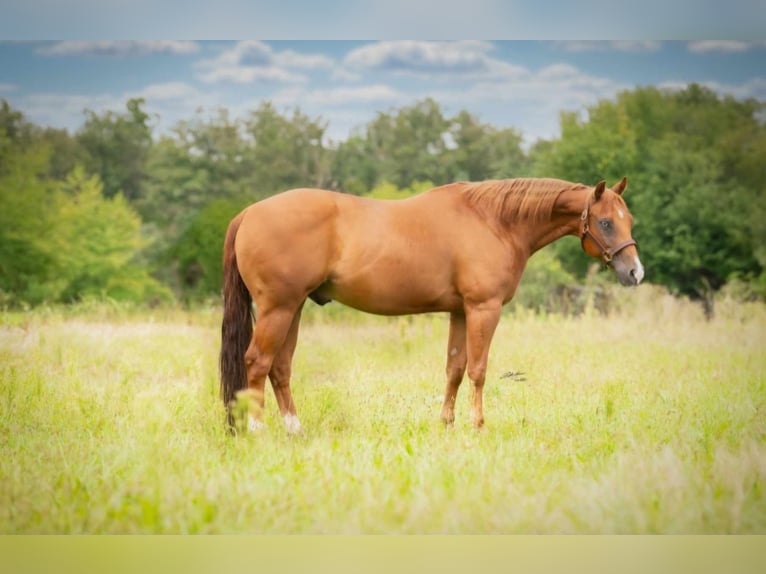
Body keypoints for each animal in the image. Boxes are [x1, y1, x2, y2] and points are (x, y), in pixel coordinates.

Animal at [219, 178, 644, 434]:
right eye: (606, 222)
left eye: (629, 219)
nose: (635, 272)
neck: (494, 221)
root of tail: (249, 212)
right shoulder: (483, 309)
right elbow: (477, 370)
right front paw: (478, 426)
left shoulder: (460, 312)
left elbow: (454, 368)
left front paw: (446, 424)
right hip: (278, 309)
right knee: (257, 362)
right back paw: (257, 430)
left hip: (293, 310)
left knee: (280, 368)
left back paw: (295, 431)